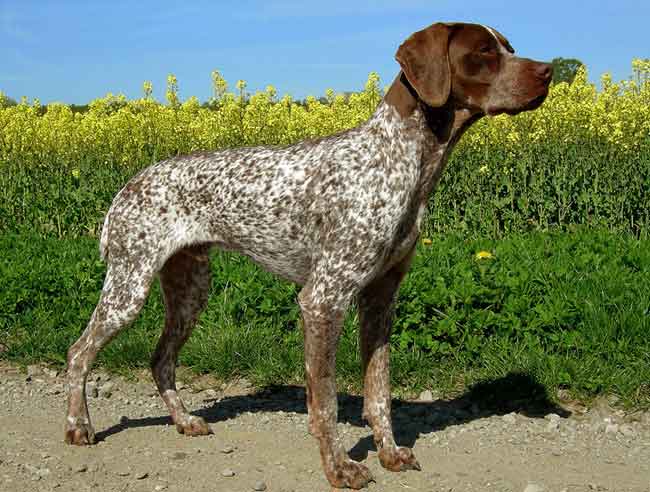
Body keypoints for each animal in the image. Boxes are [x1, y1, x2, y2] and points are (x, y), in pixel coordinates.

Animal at [66, 22, 548, 488]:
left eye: (508, 47)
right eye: (483, 51)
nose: (548, 71)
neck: (398, 160)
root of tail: (128, 186)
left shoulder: (380, 299)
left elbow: (379, 393)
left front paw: (390, 453)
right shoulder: (323, 299)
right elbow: (326, 402)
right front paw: (340, 469)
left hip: (190, 292)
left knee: (160, 360)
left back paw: (184, 421)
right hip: (129, 289)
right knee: (79, 352)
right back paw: (78, 426)